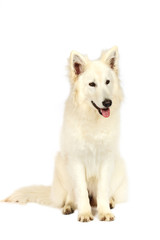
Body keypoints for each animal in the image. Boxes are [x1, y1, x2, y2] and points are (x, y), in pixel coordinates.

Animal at [3, 46, 127, 221]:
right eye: (92, 84)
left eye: (107, 82)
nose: (107, 103)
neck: (92, 120)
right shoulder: (75, 160)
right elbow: (80, 191)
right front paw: (85, 214)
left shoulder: (107, 159)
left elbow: (103, 190)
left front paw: (104, 212)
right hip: (62, 163)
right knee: (71, 195)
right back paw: (69, 207)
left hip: (119, 165)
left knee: (104, 195)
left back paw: (109, 202)